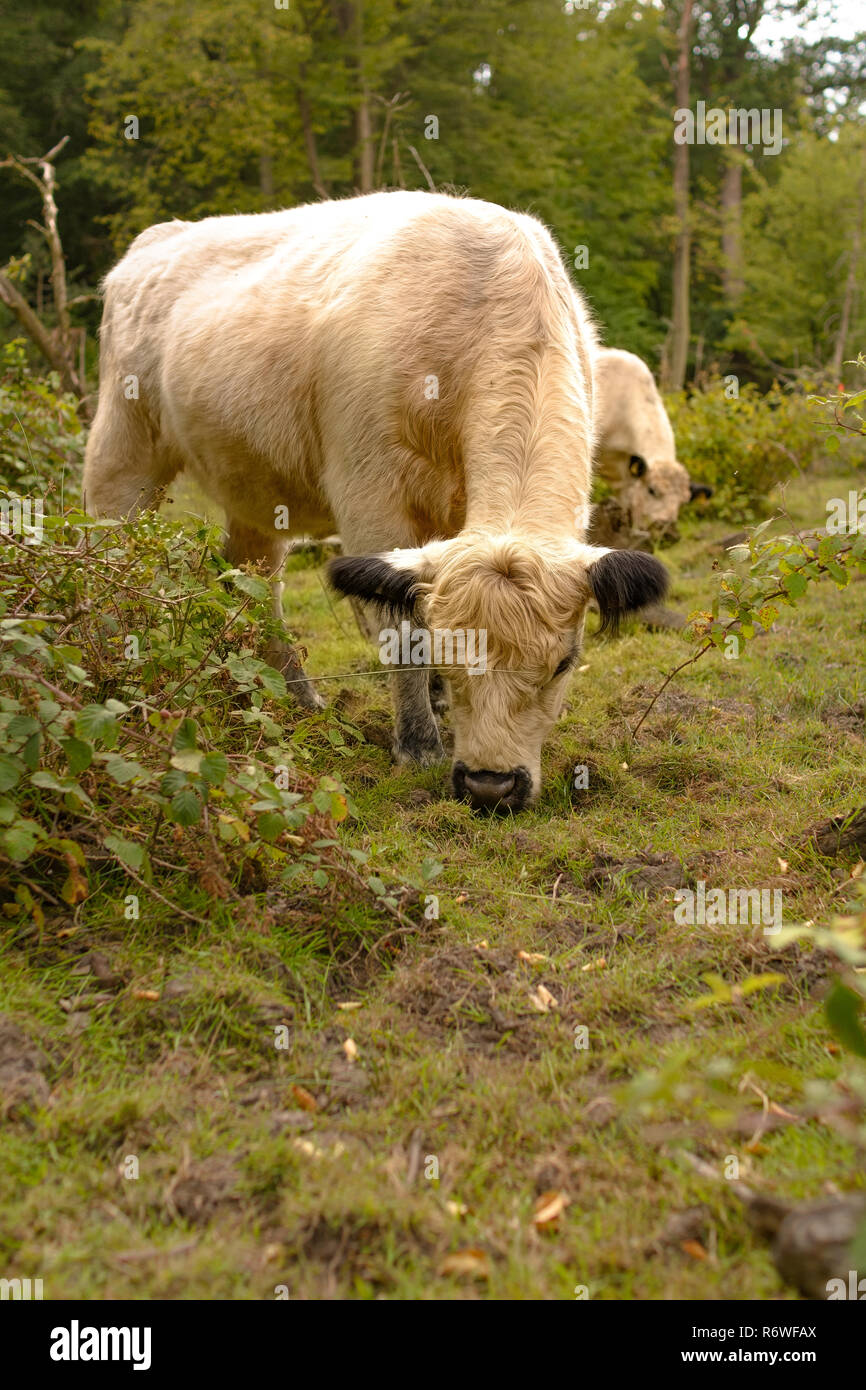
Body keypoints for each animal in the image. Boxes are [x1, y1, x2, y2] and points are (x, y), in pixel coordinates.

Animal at [84, 187, 667, 811]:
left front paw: (435, 707)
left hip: (254, 490)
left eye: (564, 662)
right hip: (122, 449)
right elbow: (402, 630)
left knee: (255, 581)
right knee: (113, 556)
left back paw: (291, 698)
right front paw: (418, 743)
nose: (490, 785)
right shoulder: (372, 498)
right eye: (450, 651)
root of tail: (156, 241)